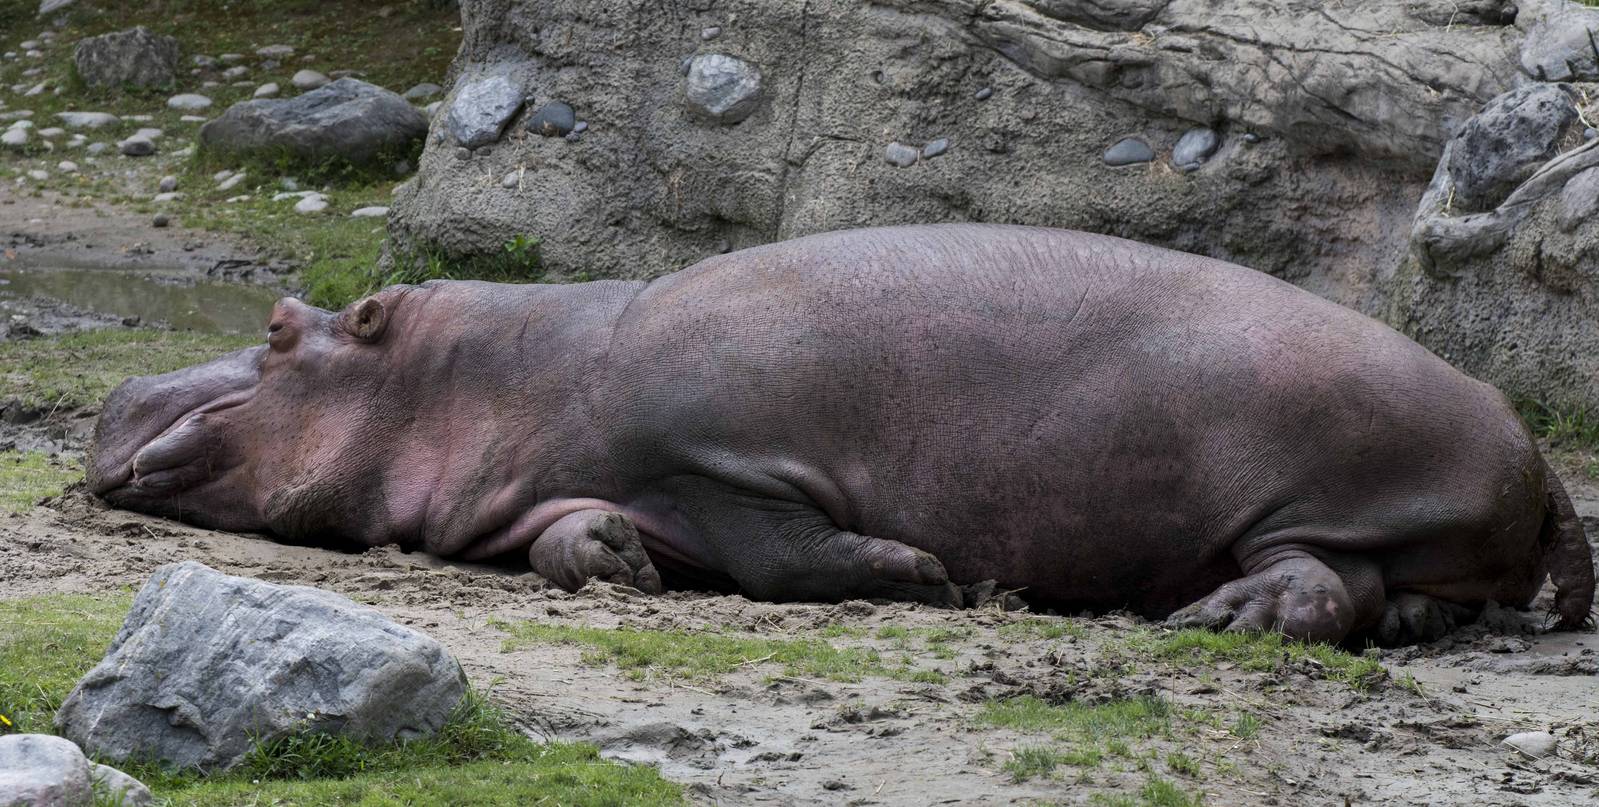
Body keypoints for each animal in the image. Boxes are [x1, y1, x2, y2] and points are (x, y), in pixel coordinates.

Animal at [88, 225, 1594, 644]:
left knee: (1319, 586)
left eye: (281, 326)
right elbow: (576, 540)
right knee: (1375, 596)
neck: (496, 371)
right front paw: (616, 563)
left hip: (1319, 492)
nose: (112, 391)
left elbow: (786, 556)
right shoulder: (602, 486)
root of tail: (1532, 448)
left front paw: (925, 572)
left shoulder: (720, 461)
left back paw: (1215, 618)